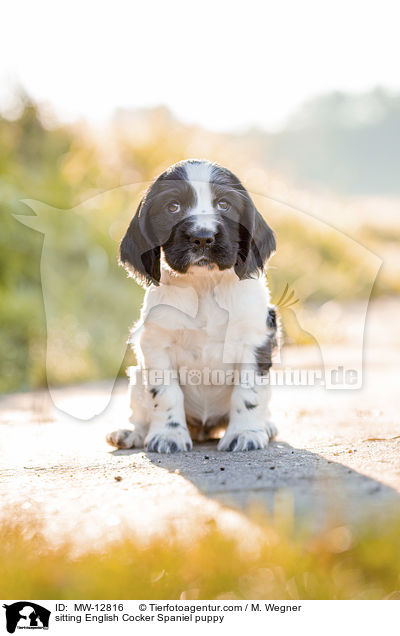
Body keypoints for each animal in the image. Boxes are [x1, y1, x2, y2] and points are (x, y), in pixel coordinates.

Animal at [108, 161, 280, 454]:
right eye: (173, 207)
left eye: (224, 204)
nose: (202, 237)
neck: (204, 286)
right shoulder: (156, 343)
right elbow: (166, 393)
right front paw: (168, 435)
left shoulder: (255, 339)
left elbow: (248, 392)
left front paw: (245, 433)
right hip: (137, 379)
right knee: (141, 413)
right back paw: (130, 434)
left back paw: (266, 427)